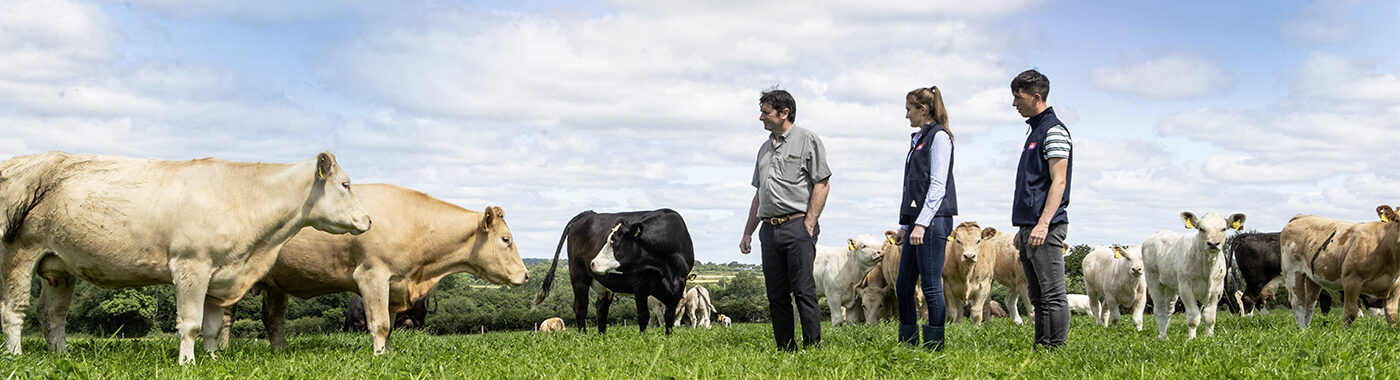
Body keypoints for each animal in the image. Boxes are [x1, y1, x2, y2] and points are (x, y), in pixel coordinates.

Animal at [0, 152, 372, 367]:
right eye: (346, 184)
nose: (368, 220)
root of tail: (26, 160)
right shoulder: (192, 266)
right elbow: (191, 323)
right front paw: (188, 362)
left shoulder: (221, 274)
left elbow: (211, 326)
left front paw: (212, 357)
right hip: (21, 252)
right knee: (14, 309)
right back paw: (15, 355)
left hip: (58, 266)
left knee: (52, 314)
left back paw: (61, 355)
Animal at [240, 183, 526, 356]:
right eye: (506, 239)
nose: (526, 274)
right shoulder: (372, 275)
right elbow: (379, 324)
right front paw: (378, 356)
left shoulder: (394, 284)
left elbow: (388, 326)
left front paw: (386, 355)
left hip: (276, 285)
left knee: (273, 320)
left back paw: (279, 352)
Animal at [529, 210, 694, 335]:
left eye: (613, 241)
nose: (593, 263)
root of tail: (588, 214)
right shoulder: (640, 285)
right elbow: (643, 315)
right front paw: (643, 338)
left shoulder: (678, 286)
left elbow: (669, 317)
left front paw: (668, 337)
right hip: (578, 275)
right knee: (581, 306)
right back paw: (583, 335)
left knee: (601, 307)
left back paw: (602, 335)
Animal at [1142, 211, 1254, 339]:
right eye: (1201, 228)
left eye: (1224, 228)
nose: (1213, 243)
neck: (1207, 267)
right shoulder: (1186, 289)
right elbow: (1193, 318)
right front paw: (1192, 339)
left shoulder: (1216, 291)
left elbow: (1210, 318)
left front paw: (1209, 338)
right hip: (1154, 282)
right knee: (1160, 310)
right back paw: (1161, 337)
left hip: (1170, 287)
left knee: (1168, 311)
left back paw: (1165, 336)